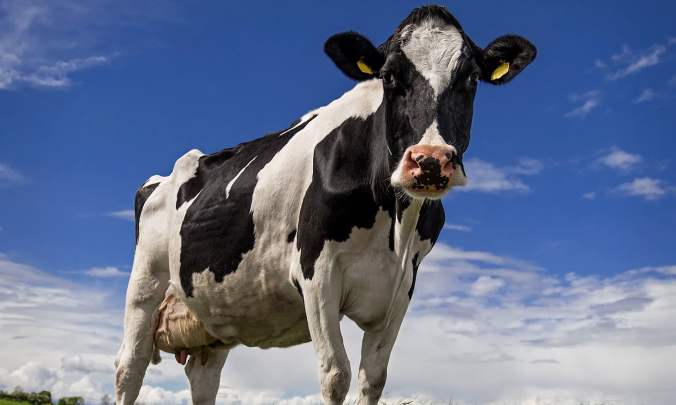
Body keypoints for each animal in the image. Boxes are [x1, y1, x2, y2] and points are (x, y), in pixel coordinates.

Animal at [114, 5, 536, 405]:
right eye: (389, 77)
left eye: (471, 79)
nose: (430, 161)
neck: (395, 223)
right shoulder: (317, 273)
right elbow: (336, 374)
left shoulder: (400, 287)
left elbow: (373, 380)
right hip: (145, 285)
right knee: (129, 369)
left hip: (212, 317)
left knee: (203, 379)